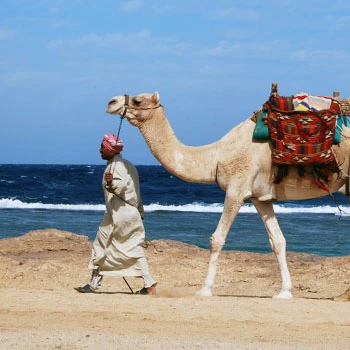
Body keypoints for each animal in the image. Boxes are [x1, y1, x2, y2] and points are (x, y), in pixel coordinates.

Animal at [106, 91, 350, 298]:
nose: (111, 102)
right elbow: (278, 241)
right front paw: (284, 292)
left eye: (138, 100)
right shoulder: (260, 198)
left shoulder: (236, 189)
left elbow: (217, 239)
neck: (216, 156)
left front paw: (205, 289)